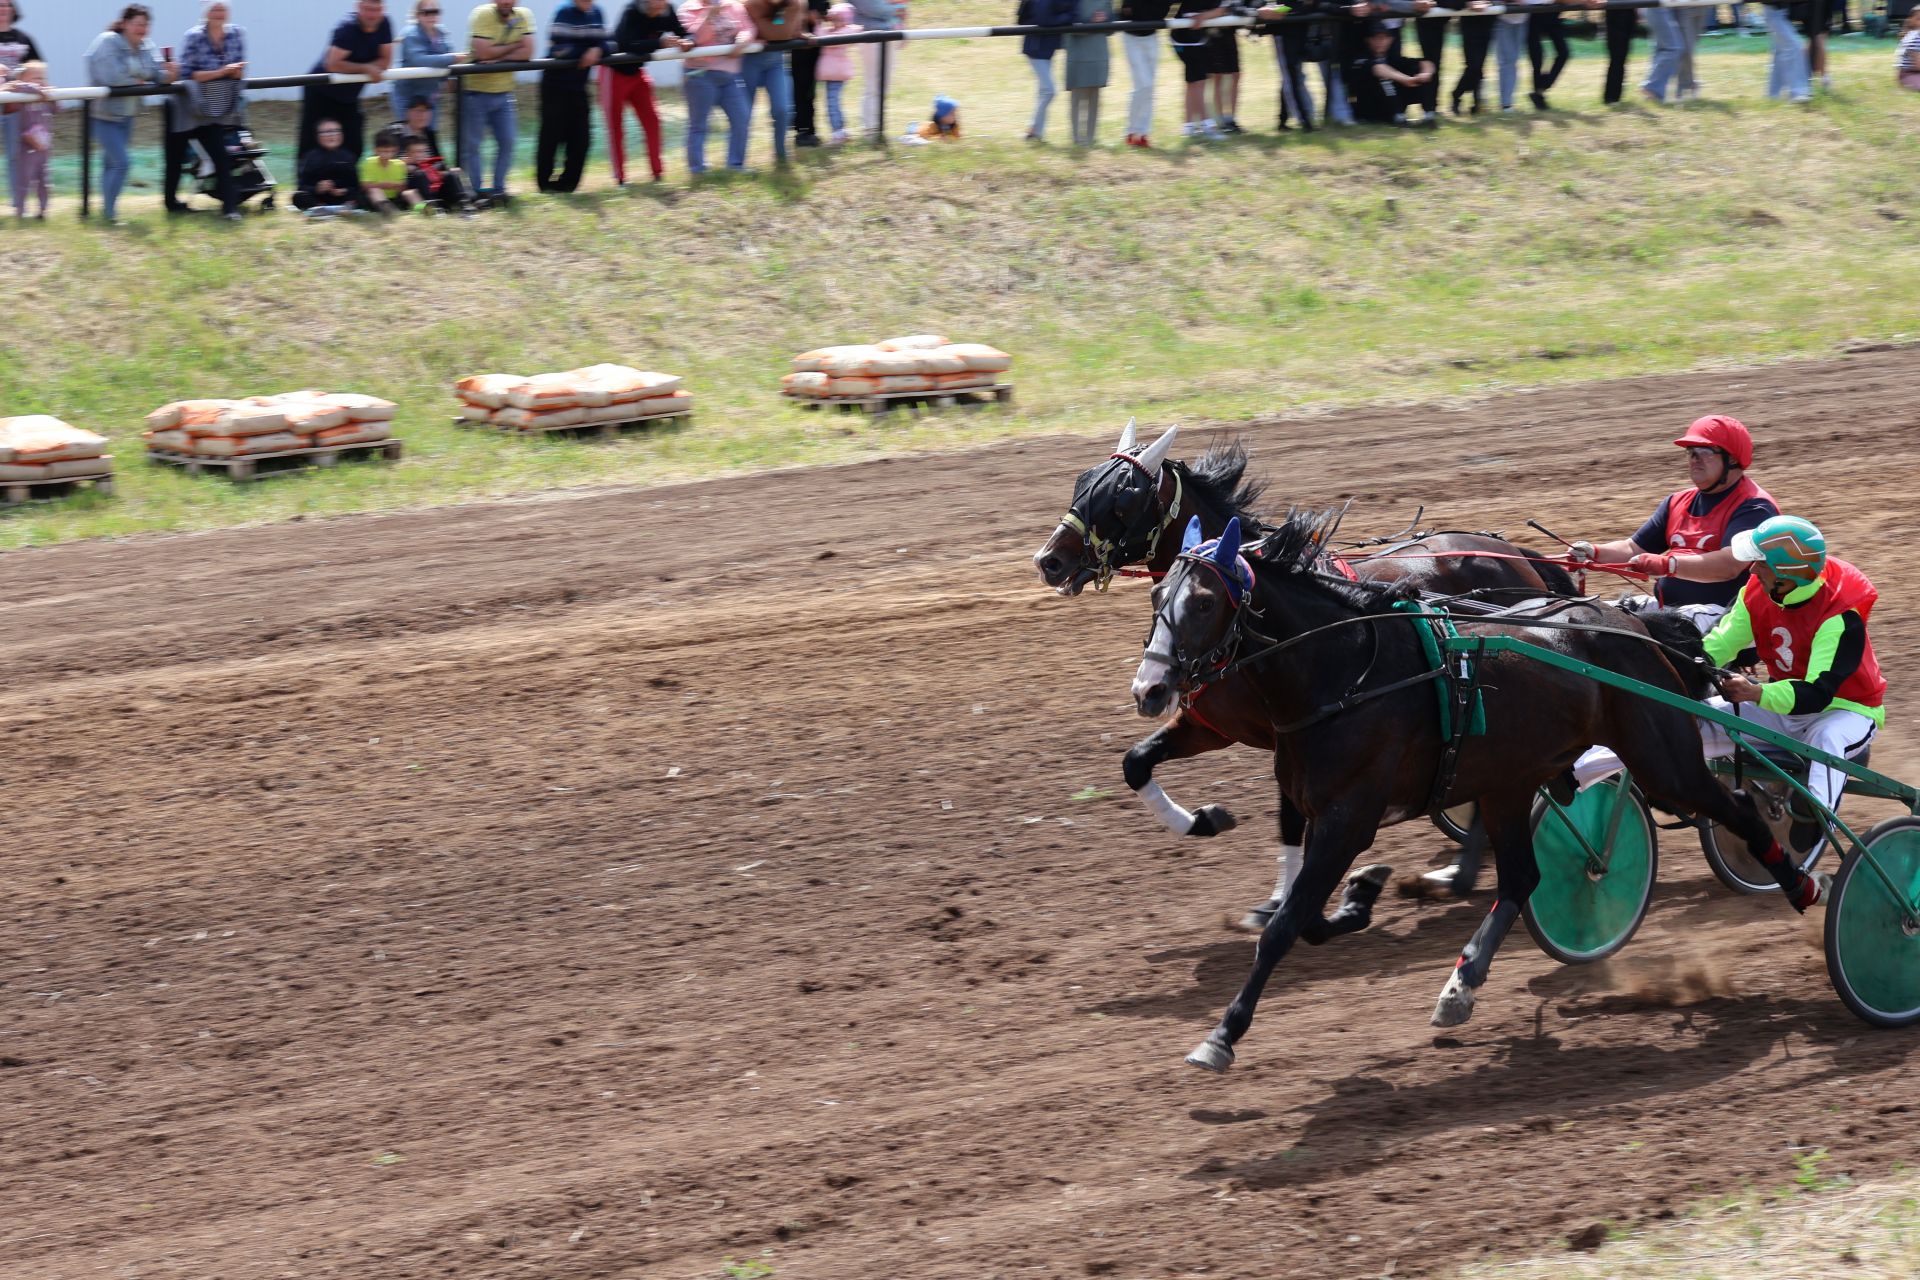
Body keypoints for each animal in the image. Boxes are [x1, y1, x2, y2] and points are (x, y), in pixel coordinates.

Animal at [1044, 426, 1582, 924]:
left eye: (1122, 498)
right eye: (1081, 481)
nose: (1048, 560)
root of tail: (1521, 557)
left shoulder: (1287, 734)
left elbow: (1289, 817)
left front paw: (1281, 900)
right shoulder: (1212, 726)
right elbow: (1136, 763)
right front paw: (1204, 820)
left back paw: (1458, 874)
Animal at [1128, 510, 1820, 1074]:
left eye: (1204, 602)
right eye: (1159, 593)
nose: (1150, 689)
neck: (1348, 671)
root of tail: (1631, 622)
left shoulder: (1349, 817)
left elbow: (1285, 926)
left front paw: (1221, 1034)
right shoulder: (1309, 800)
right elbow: (1302, 910)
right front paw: (1360, 895)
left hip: (1662, 760)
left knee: (1737, 807)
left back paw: (1798, 880)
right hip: (1510, 779)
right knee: (1521, 876)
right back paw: (1460, 984)